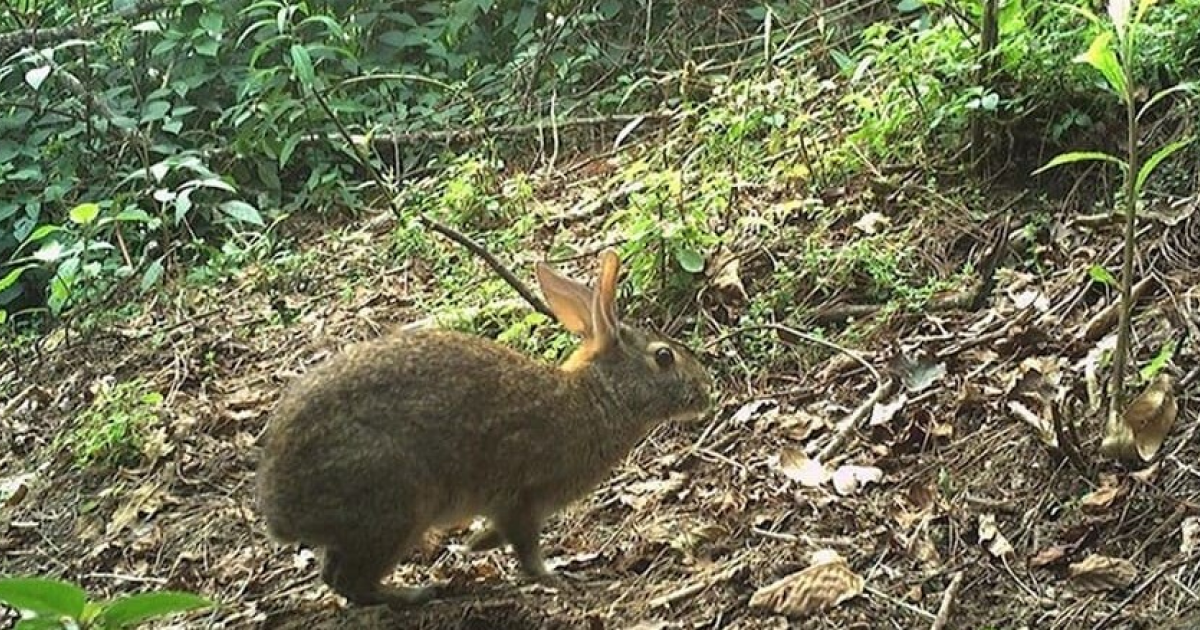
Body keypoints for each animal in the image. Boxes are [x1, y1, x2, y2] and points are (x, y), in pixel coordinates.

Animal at [255, 248, 710, 607]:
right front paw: (555, 576)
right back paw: (417, 594)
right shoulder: (524, 497)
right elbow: (526, 549)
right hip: (397, 505)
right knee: (348, 580)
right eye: (664, 357)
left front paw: (473, 545)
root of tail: (280, 510)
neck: (598, 397)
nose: (706, 390)